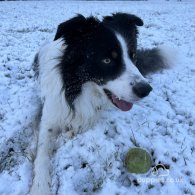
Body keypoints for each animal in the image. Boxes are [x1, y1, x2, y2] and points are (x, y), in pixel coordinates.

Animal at [30, 12, 169, 194]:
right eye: (107, 60)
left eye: (133, 56)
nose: (145, 90)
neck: (77, 88)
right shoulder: (49, 114)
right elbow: (42, 153)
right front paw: (40, 186)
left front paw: (65, 135)